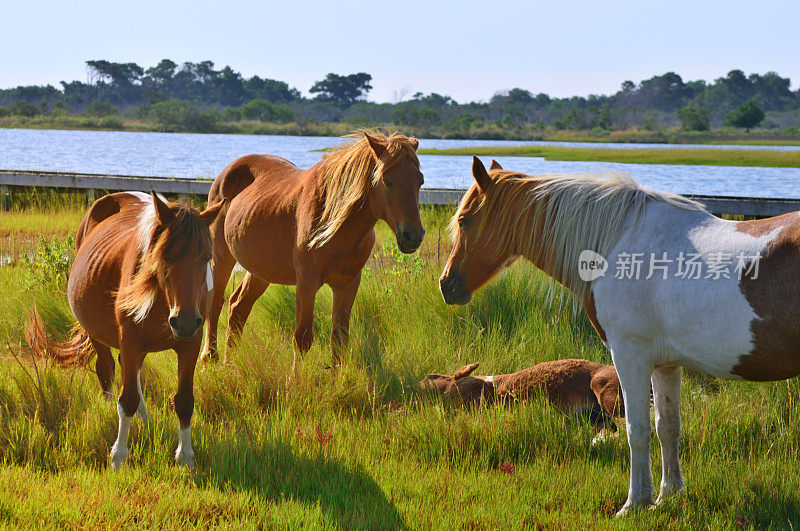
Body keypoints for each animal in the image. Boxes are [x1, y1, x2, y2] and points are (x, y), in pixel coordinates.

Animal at [27, 192, 220, 470]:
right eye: (166, 256)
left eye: (206, 258)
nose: (184, 322)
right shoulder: (130, 341)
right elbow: (126, 398)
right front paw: (119, 456)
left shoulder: (189, 345)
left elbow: (184, 400)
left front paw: (185, 457)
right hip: (96, 331)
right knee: (106, 368)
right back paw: (112, 412)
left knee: (132, 372)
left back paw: (145, 420)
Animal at [200, 133, 424, 366]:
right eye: (387, 181)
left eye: (420, 181)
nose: (413, 236)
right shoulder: (307, 282)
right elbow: (302, 339)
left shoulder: (348, 284)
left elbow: (339, 339)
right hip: (222, 258)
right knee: (216, 302)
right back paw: (210, 356)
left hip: (261, 270)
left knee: (238, 307)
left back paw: (231, 362)